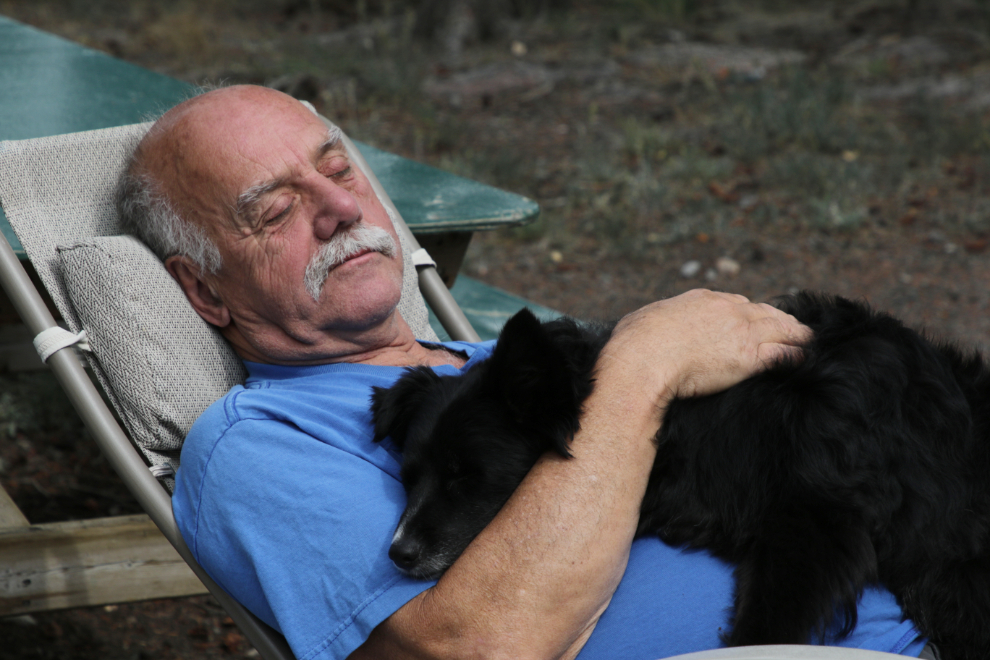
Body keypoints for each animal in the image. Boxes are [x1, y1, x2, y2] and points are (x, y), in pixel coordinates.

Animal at [370, 296, 990, 660]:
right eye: (409, 477)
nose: (397, 554)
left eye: (465, 477)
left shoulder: (817, 526)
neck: (688, 422)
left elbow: (762, 634)